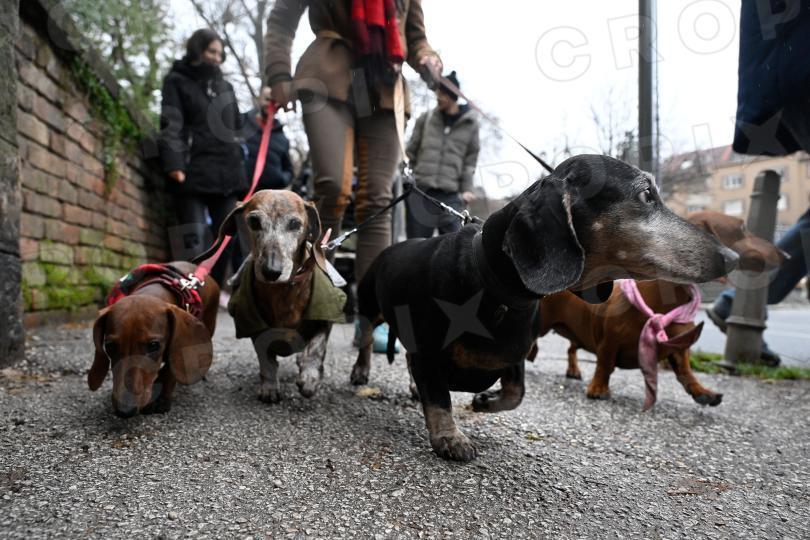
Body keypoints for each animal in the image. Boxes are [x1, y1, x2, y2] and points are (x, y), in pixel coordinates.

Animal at [199, 190, 345, 403]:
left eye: (295, 224)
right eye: (254, 221)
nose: (271, 271)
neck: (283, 291)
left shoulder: (325, 314)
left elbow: (316, 347)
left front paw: (310, 378)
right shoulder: (253, 324)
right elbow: (266, 359)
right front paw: (269, 387)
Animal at [351, 155, 739, 461]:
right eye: (646, 195)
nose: (732, 258)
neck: (493, 290)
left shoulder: (513, 360)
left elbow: (515, 395)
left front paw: (485, 400)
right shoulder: (429, 353)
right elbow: (439, 398)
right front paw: (450, 437)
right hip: (369, 306)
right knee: (367, 338)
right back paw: (360, 371)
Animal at [534, 210, 786, 407]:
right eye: (742, 227)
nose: (786, 254)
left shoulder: (680, 347)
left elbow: (686, 373)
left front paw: (703, 392)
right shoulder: (609, 342)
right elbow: (604, 365)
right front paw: (598, 388)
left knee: (571, 348)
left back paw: (573, 371)